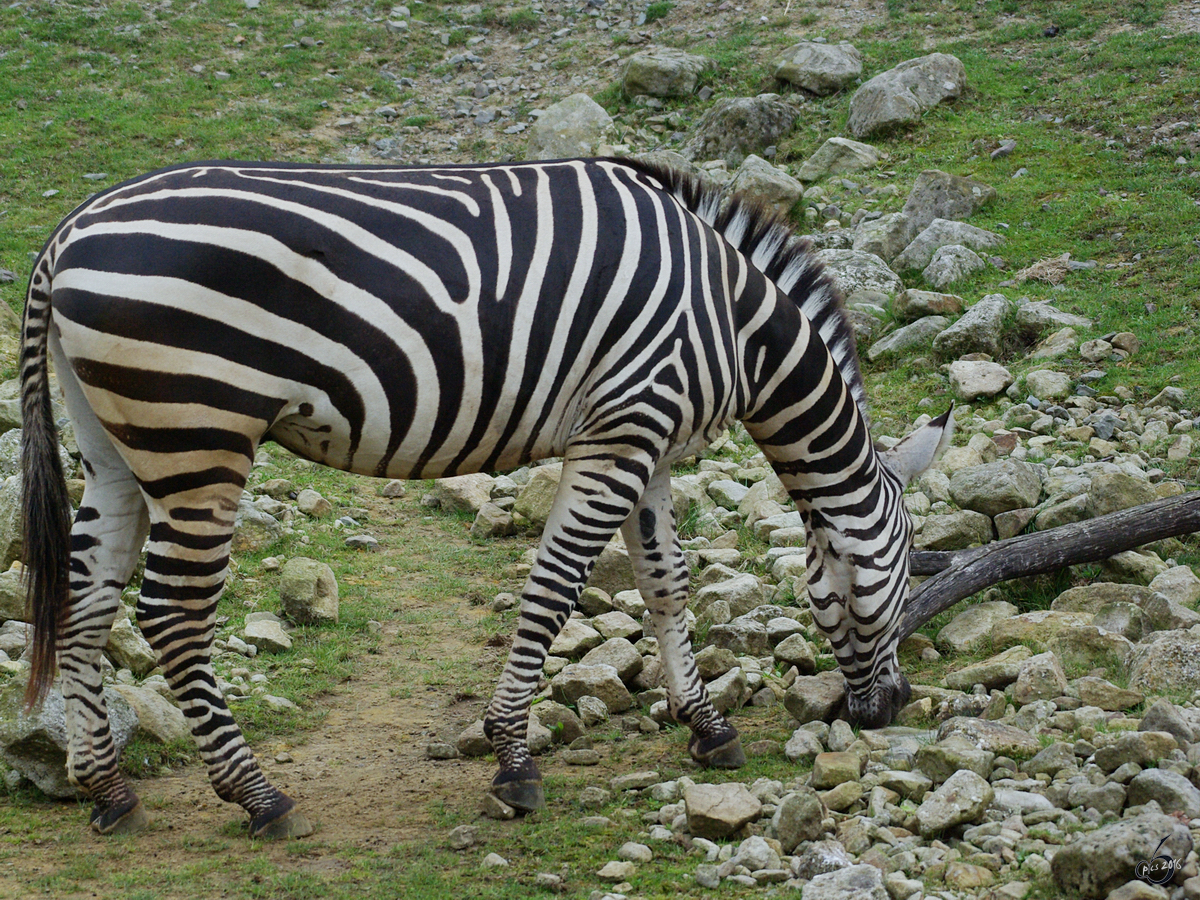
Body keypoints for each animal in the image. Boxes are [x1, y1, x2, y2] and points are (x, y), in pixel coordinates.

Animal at [23, 154, 950, 840]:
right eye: (906, 576)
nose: (891, 709)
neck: (734, 320)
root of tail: (67, 230)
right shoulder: (619, 432)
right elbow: (555, 587)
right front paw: (512, 760)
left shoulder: (648, 440)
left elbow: (666, 583)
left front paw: (706, 727)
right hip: (198, 431)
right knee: (172, 616)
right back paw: (258, 797)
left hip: (114, 444)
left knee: (86, 601)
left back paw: (107, 790)